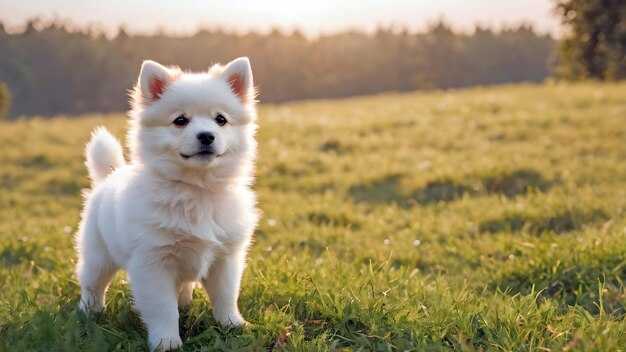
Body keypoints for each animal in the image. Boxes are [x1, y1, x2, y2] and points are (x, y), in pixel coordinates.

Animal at [76, 57, 258, 350]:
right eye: (180, 121)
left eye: (221, 120)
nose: (206, 135)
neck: (196, 190)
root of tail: (108, 177)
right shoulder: (153, 262)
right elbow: (162, 308)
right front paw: (167, 342)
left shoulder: (225, 257)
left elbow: (226, 296)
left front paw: (234, 326)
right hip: (98, 255)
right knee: (93, 284)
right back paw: (89, 313)